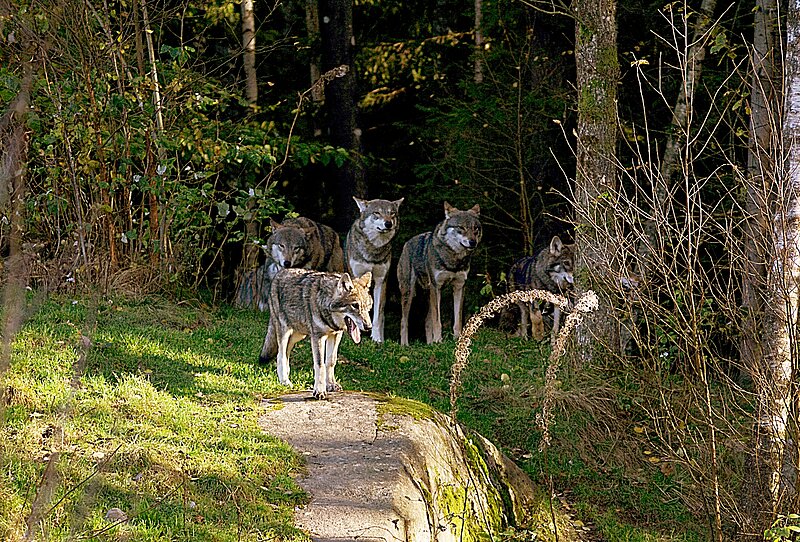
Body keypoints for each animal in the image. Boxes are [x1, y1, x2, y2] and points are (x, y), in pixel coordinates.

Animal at [262, 270, 376, 402]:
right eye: (355, 306)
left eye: (368, 306)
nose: (369, 327)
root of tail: (279, 273)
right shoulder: (318, 337)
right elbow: (320, 364)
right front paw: (320, 391)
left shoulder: (336, 335)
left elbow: (331, 361)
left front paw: (331, 384)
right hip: (284, 331)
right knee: (280, 355)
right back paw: (285, 381)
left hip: (298, 336)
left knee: (285, 353)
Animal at [346, 197, 404, 344]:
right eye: (377, 213)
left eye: (392, 213)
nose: (388, 223)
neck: (373, 249)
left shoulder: (380, 281)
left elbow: (378, 316)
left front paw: (377, 339)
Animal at [396, 202, 482, 346]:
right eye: (461, 227)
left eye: (475, 228)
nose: (473, 242)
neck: (453, 259)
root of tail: (407, 243)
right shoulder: (436, 287)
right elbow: (438, 321)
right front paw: (438, 340)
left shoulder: (459, 287)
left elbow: (457, 320)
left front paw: (457, 339)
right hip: (411, 293)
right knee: (404, 321)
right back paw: (405, 345)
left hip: (431, 294)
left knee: (426, 321)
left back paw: (430, 344)